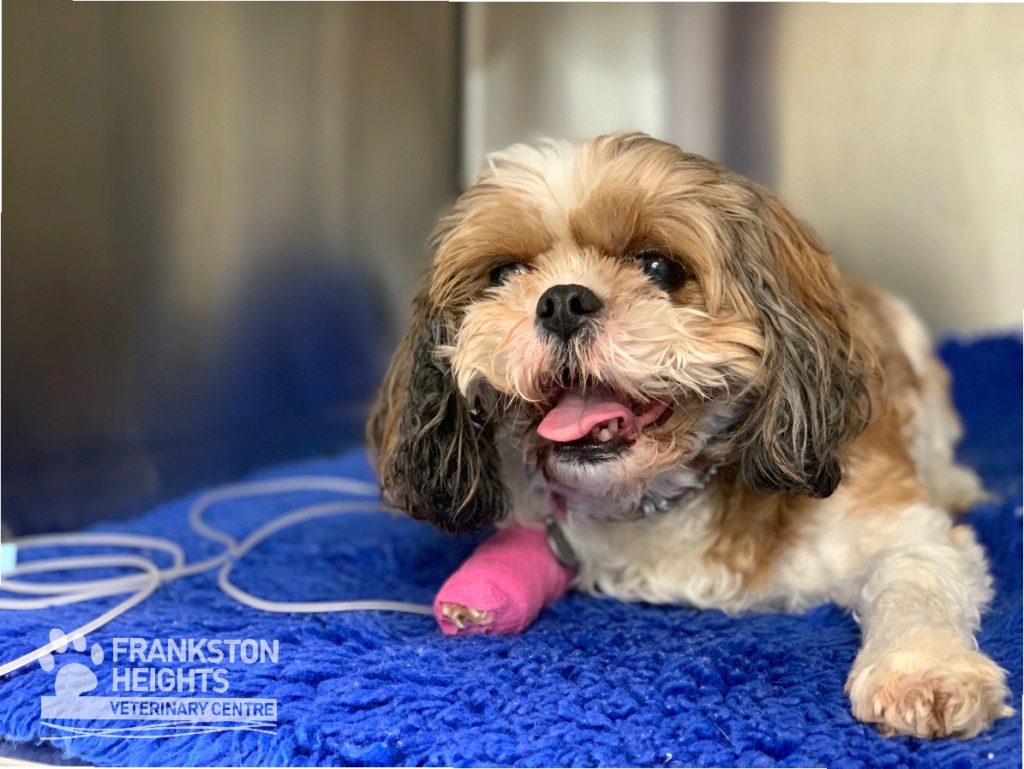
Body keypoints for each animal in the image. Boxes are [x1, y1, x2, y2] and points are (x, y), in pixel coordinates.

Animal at [364, 134, 1011, 741]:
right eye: (504, 274)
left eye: (660, 268)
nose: (561, 300)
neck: (662, 500)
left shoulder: (895, 523)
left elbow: (915, 576)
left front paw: (924, 668)